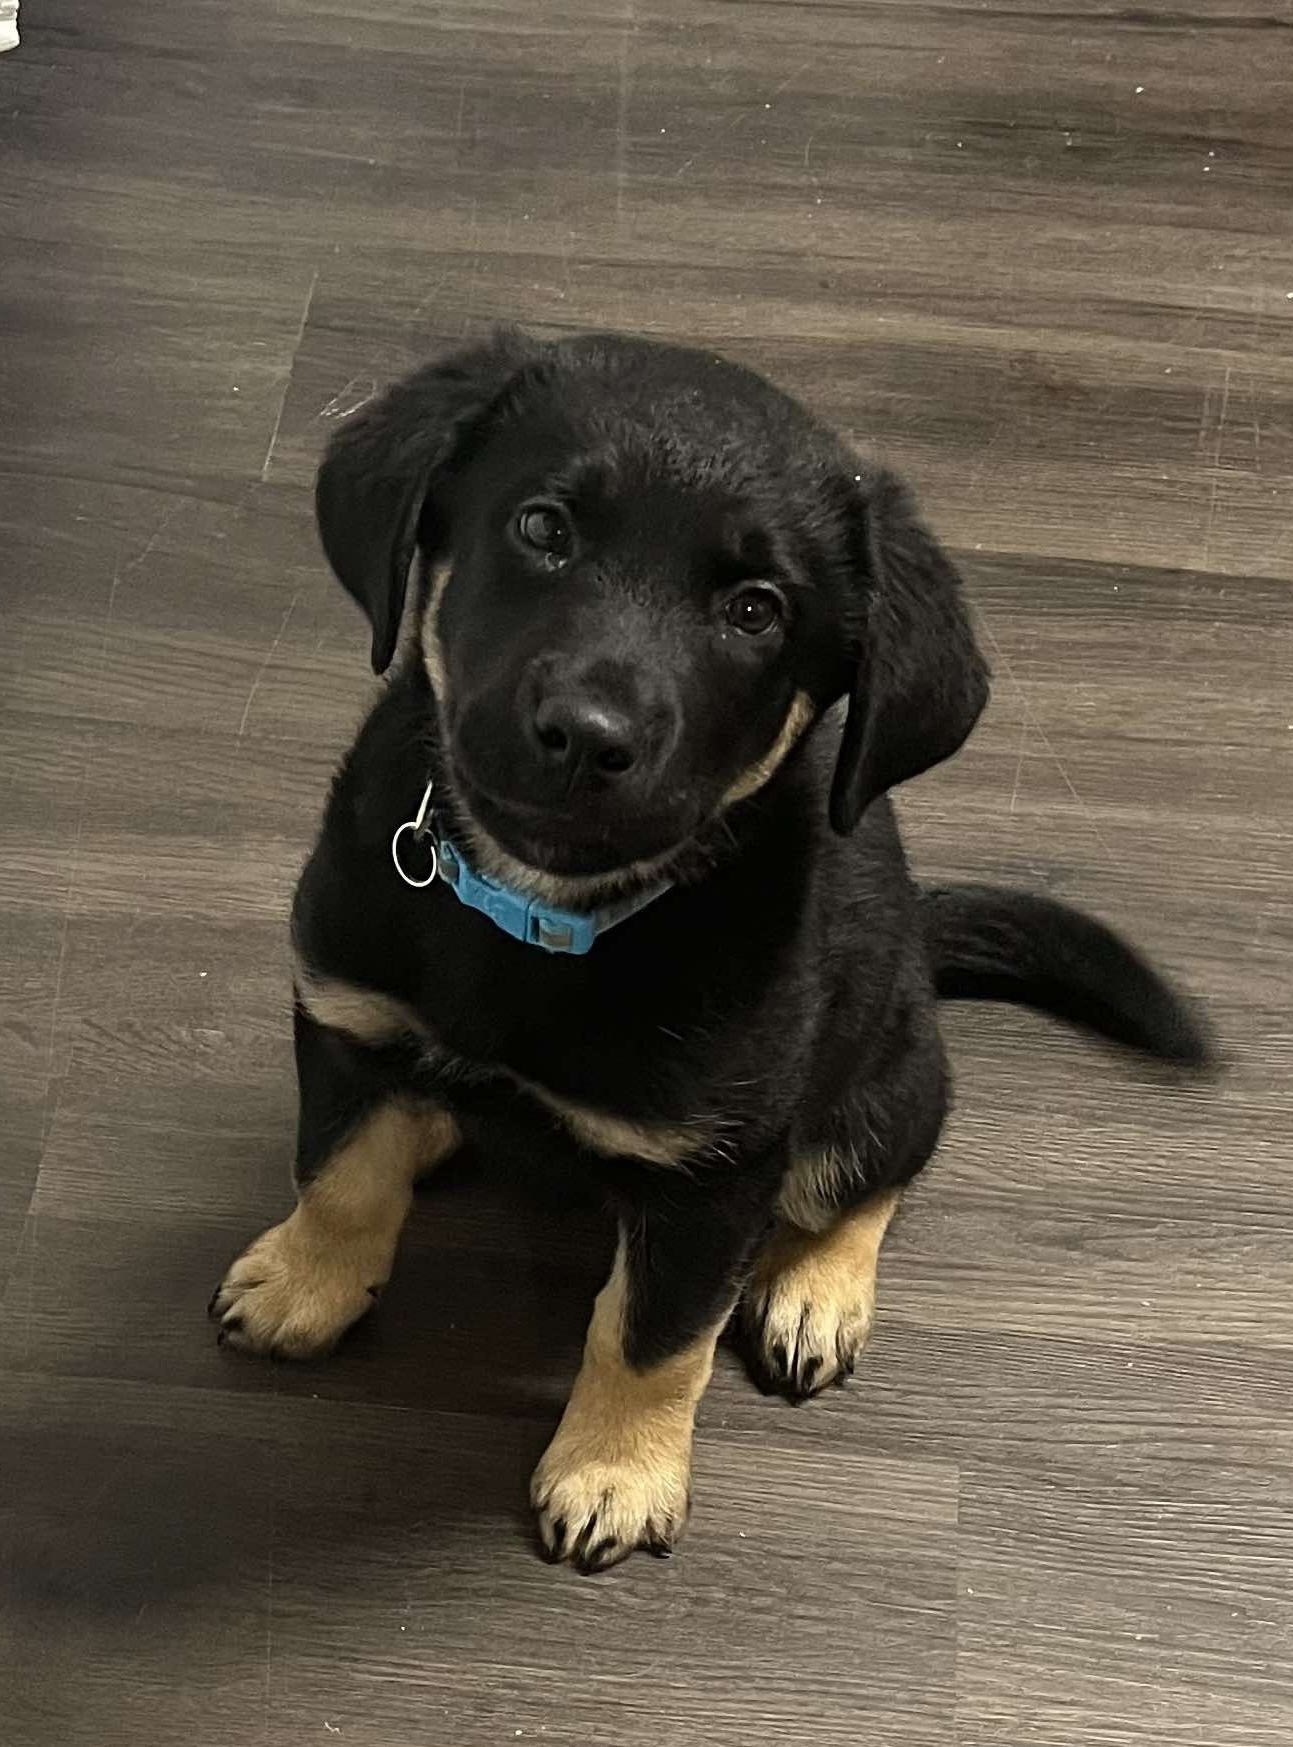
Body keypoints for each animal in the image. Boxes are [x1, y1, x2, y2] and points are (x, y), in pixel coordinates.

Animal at [212, 324, 1209, 1572]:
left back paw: (816, 1289)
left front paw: (616, 1471)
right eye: (542, 527)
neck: (547, 915)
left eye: (755, 610)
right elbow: (339, 1173)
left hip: (885, 1075)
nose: (587, 738)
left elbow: (653, 1335)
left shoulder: (714, 1173)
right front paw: (306, 1281)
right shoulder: (347, 1012)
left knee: (877, 1166)